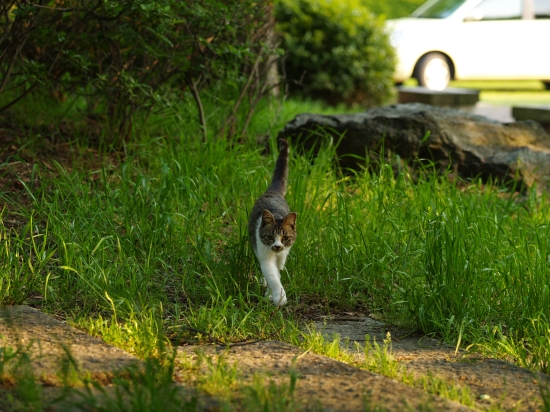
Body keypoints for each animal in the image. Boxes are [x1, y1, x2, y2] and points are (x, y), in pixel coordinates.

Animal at [249, 139, 298, 306]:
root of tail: (273, 192)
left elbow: (277, 272)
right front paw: (279, 297)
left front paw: (272, 295)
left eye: (285, 237)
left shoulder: (283, 252)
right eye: (270, 237)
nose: (277, 246)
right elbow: (272, 275)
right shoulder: (263, 251)